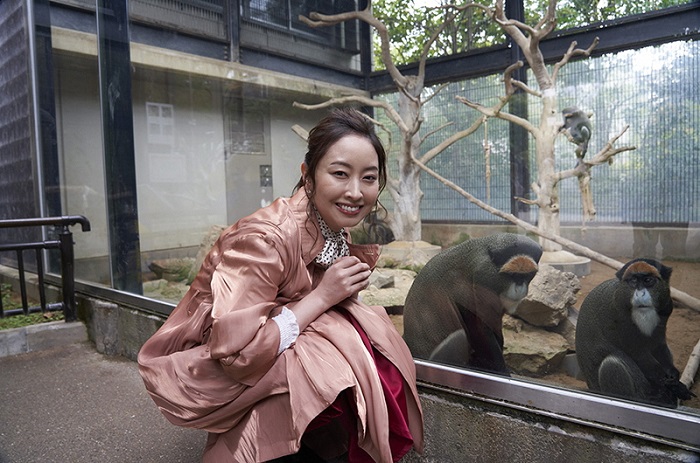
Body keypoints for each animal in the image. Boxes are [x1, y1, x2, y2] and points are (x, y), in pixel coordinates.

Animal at [400, 234, 540, 376]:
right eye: (512, 275)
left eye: (527, 275)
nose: (520, 288)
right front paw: (503, 371)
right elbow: (480, 329)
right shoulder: (475, 283)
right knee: (460, 337)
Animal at [576, 260, 696, 408]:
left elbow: (659, 345)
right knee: (611, 363)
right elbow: (637, 352)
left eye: (648, 280)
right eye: (633, 281)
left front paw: (674, 376)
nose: (640, 294)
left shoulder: (667, 307)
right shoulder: (618, 312)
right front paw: (674, 386)